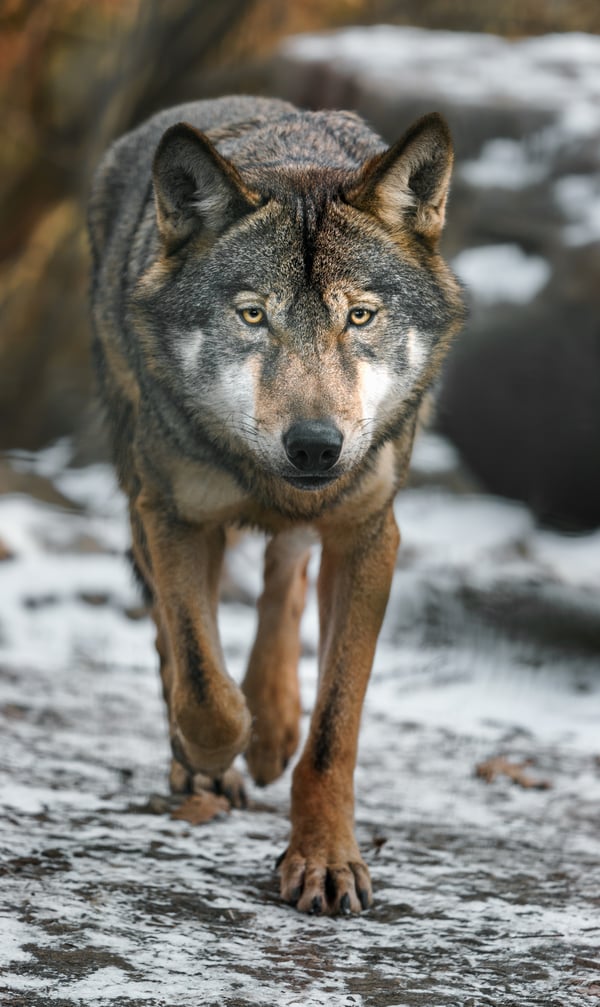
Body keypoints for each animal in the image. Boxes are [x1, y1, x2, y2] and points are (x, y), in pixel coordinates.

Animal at [88, 94, 463, 914]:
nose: (316, 446)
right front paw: (210, 751)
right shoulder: (173, 515)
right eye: (254, 316)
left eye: (360, 317)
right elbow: (202, 684)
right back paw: (221, 757)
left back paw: (273, 725)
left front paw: (323, 859)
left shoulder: (369, 535)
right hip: (139, 492)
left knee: (284, 572)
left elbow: (334, 728)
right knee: (175, 634)